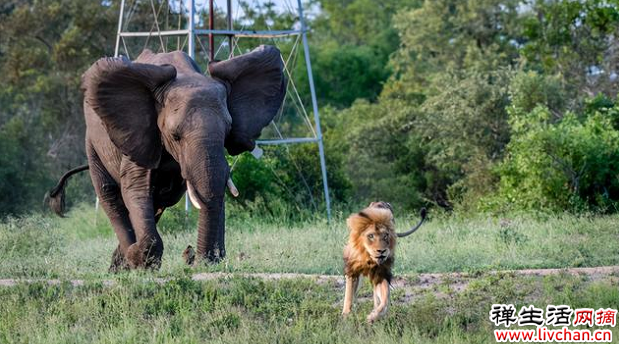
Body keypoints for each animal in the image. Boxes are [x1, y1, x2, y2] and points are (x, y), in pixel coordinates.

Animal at [47, 45, 286, 270]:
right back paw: (126, 259)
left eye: (227, 131)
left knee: (160, 200)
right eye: (175, 136)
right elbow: (136, 187)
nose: (199, 261)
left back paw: (120, 263)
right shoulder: (139, 132)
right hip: (93, 143)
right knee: (110, 194)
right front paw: (141, 260)